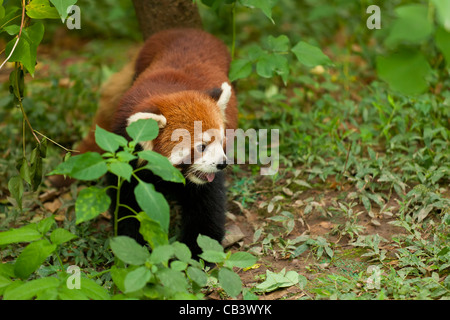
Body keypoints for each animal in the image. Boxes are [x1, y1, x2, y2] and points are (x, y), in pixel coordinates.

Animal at [66, 28, 239, 256]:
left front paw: (193, 254)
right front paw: (132, 247)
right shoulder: (126, 158)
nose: (222, 164)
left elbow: (206, 213)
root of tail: (188, 30)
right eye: (201, 147)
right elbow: (127, 204)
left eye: (220, 141)